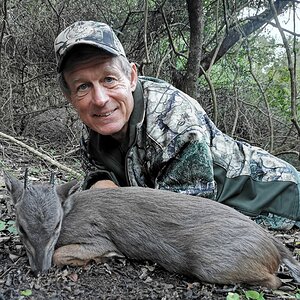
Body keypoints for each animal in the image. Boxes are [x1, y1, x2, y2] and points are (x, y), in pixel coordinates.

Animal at [4, 171, 300, 288]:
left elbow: (61, 254)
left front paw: (109, 257)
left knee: (274, 281)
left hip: (213, 262)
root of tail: (275, 246)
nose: (39, 269)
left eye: (56, 225)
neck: (70, 211)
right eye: (21, 227)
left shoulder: (98, 237)